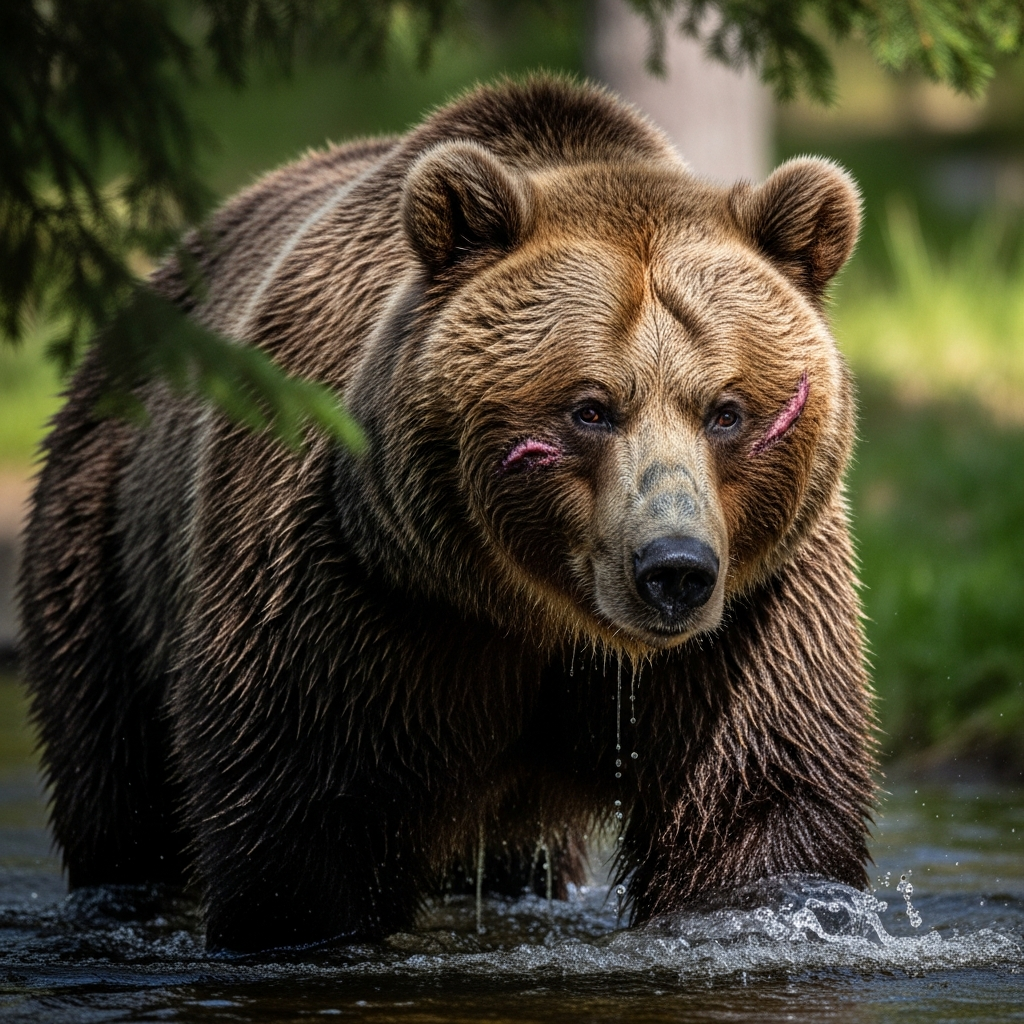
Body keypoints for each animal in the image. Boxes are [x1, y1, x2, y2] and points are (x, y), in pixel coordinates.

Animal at [18, 75, 874, 953]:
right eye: (591, 408)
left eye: (726, 411)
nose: (673, 569)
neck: (536, 613)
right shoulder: (351, 591)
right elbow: (302, 822)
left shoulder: (752, 616)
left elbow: (758, 798)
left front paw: (760, 904)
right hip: (106, 545)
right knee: (119, 792)